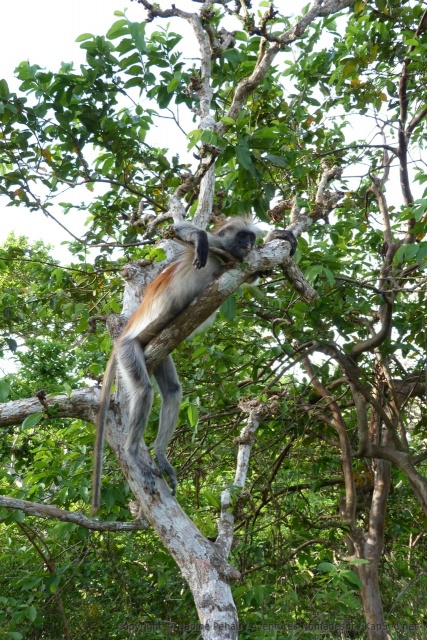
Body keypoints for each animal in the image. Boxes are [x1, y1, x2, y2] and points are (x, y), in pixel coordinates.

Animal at [91, 218, 297, 511]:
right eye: (242, 237)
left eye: (250, 238)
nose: (248, 244)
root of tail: (122, 336)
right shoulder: (219, 246)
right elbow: (179, 233)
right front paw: (199, 238)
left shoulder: (239, 262)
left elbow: (254, 272)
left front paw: (281, 236)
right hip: (128, 350)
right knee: (143, 390)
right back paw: (132, 454)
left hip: (159, 351)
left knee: (173, 391)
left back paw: (160, 454)